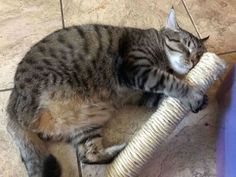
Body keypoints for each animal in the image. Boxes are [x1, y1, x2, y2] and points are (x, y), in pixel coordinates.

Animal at [6, 9, 207, 177]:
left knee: (88, 155)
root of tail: (12, 104)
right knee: (87, 156)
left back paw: (121, 150)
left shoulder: (139, 93)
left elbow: (162, 95)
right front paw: (193, 95)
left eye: (199, 56)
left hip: (85, 126)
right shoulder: (136, 69)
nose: (193, 61)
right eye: (185, 46)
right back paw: (124, 148)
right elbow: (170, 82)